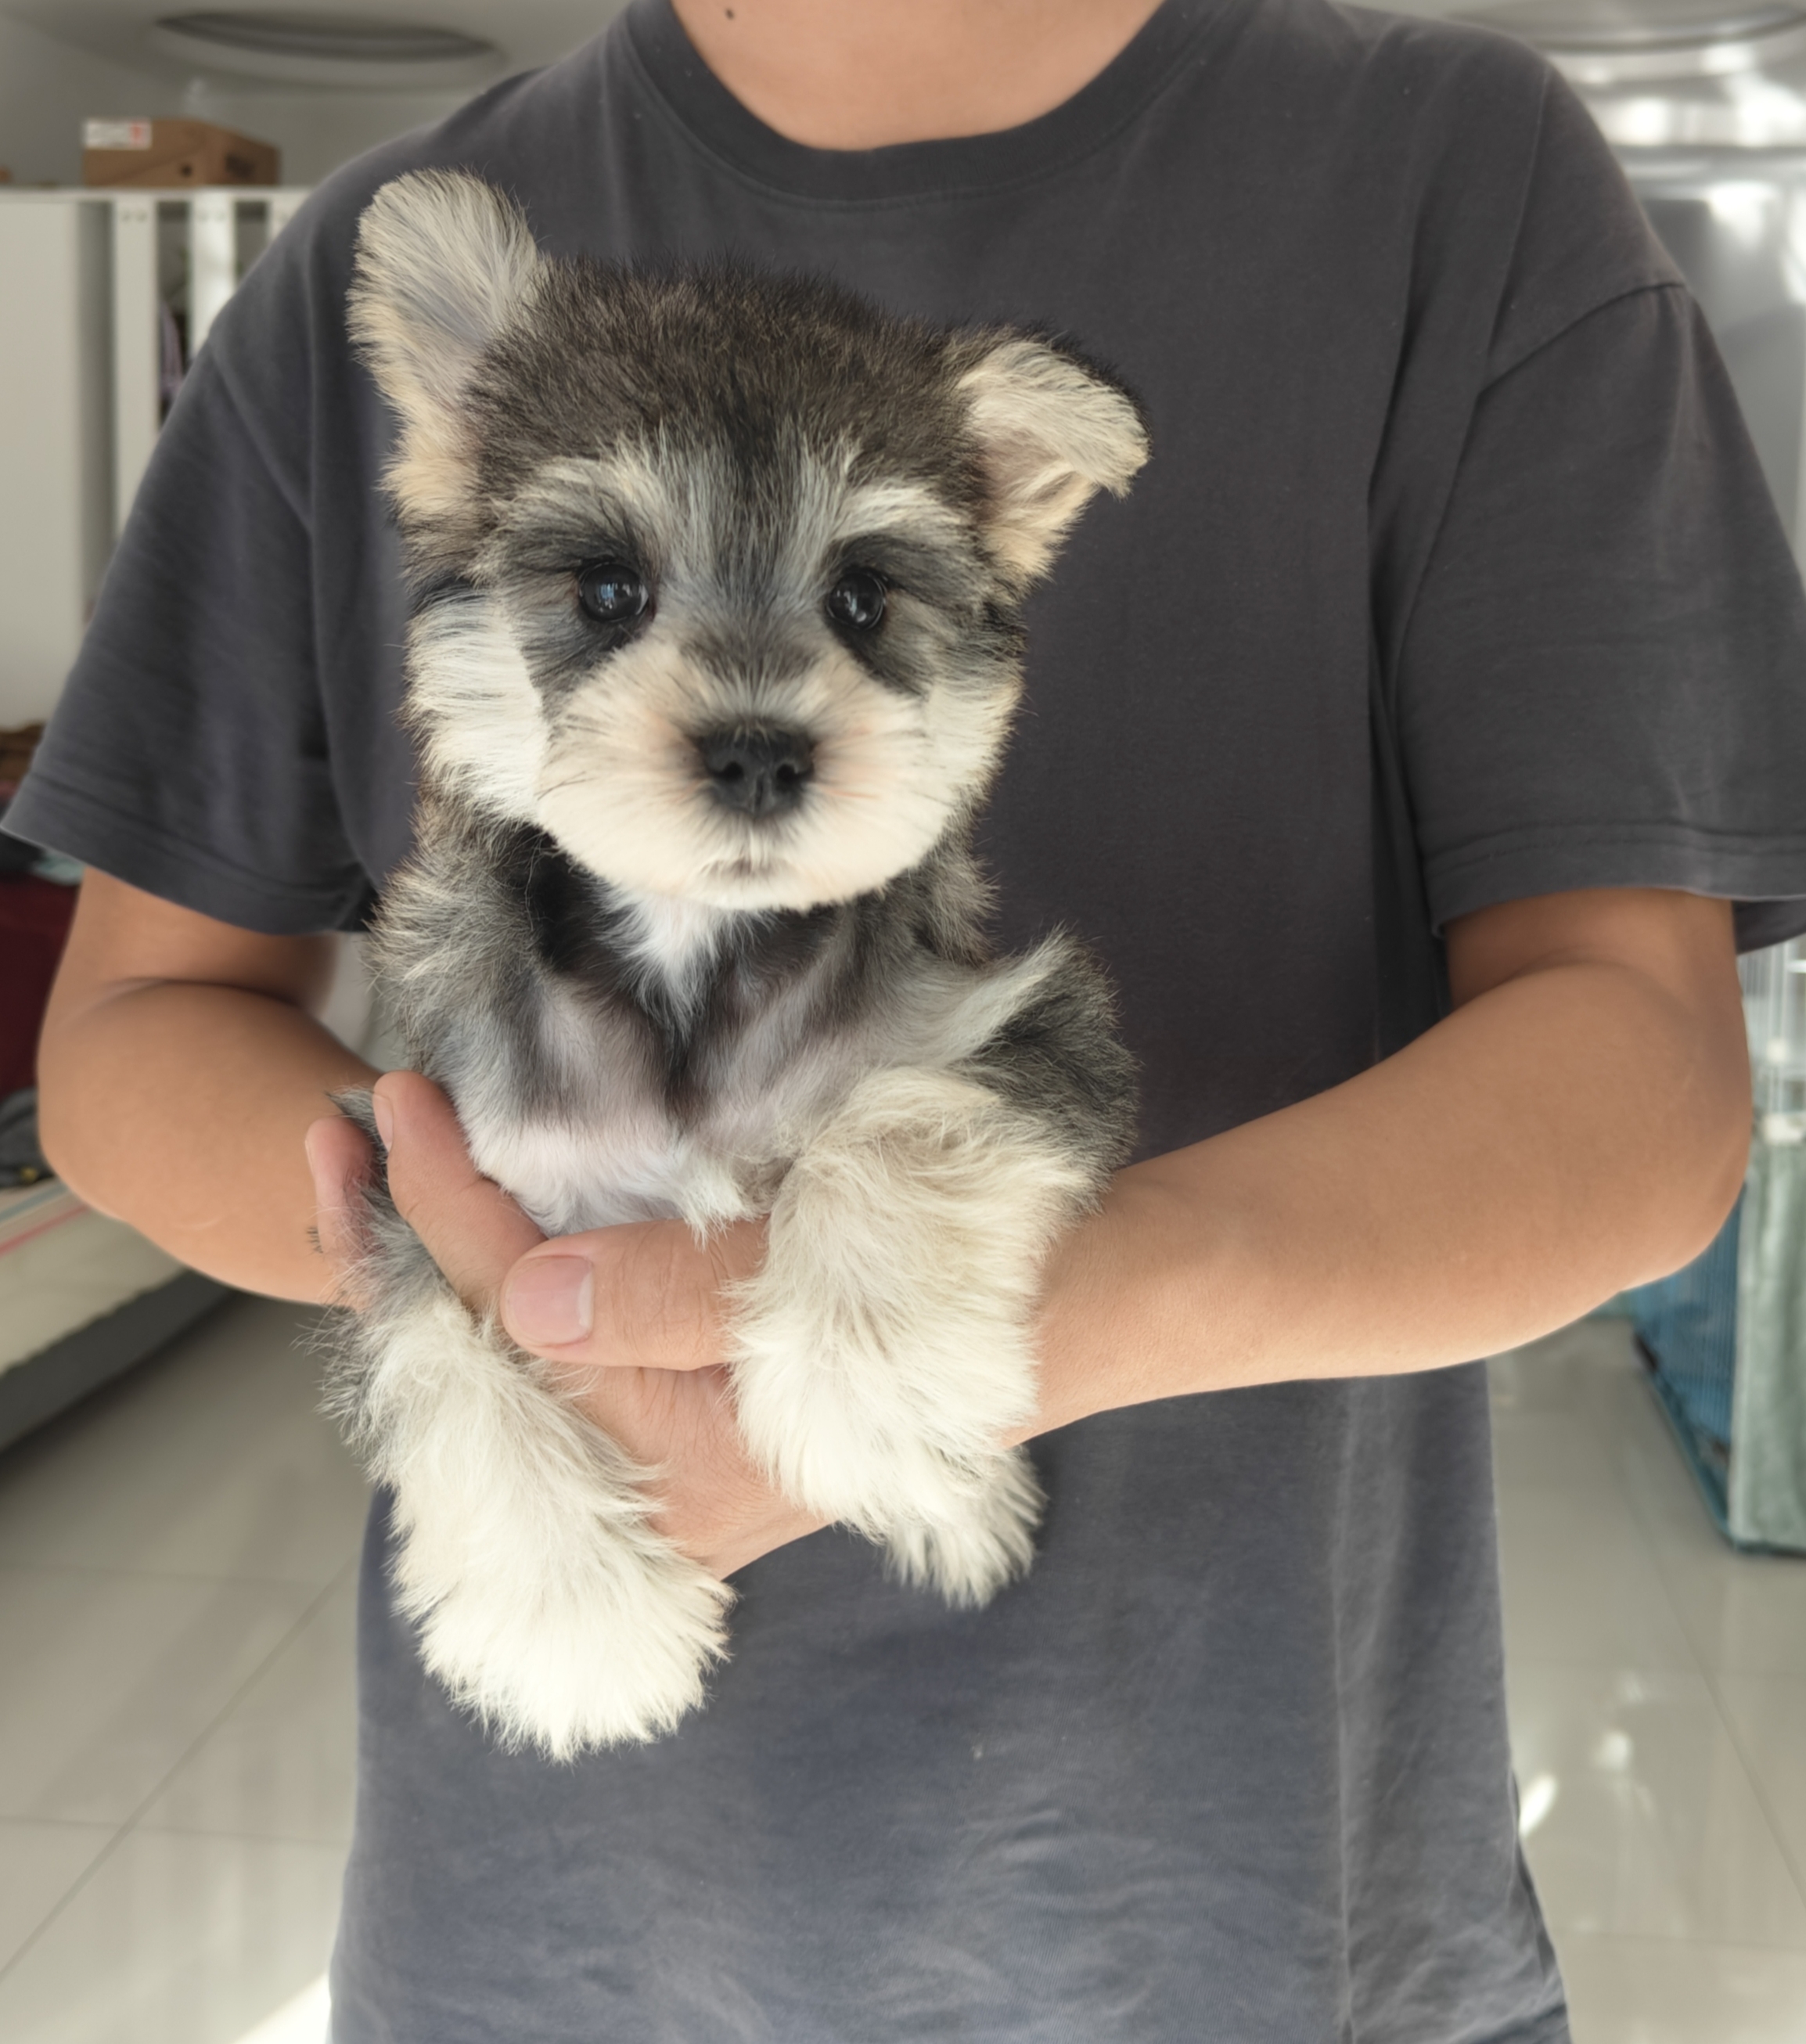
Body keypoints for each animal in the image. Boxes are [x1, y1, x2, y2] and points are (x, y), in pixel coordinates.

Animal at [328, 171, 1146, 1758]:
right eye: (606, 590)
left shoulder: (1024, 1025)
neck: (688, 970)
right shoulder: (415, 1163)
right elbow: (441, 1354)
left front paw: (869, 1389)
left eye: (864, 600)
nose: (761, 751)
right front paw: (572, 1617)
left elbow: (888, 1136)